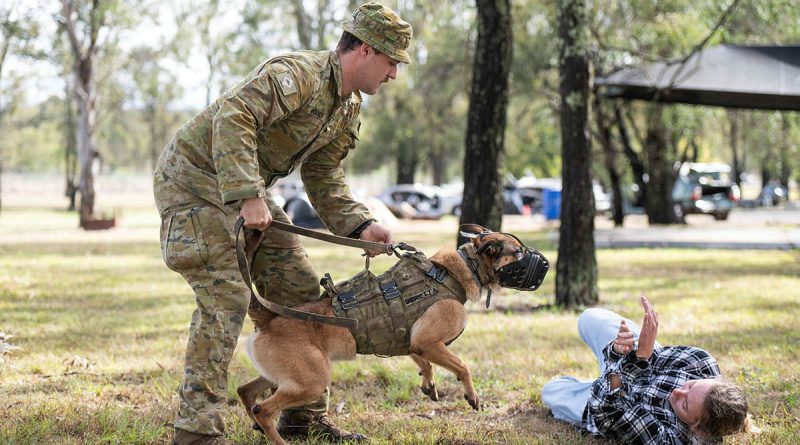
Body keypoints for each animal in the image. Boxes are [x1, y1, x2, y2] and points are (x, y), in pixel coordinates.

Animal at [238, 224, 552, 442]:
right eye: (519, 252)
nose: (547, 263)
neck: (460, 270)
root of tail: (268, 317)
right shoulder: (429, 342)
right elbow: (463, 366)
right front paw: (471, 395)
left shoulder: (415, 343)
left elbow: (423, 361)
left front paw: (428, 382)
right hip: (312, 381)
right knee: (264, 409)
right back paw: (276, 438)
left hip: (287, 377)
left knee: (246, 391)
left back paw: (256, 424)